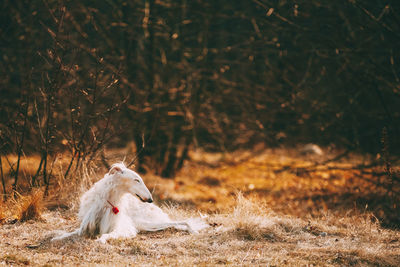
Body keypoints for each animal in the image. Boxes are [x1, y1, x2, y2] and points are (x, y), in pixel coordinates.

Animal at [52, 162, 208, 244]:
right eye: (136, 180)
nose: (150, 199)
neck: (108, 203)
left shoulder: (122, 228)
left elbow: (107, 235)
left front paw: (101, 240)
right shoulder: (85, 228)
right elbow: (72, 233)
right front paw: (57, 237)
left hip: (146, 222)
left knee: (183, 222)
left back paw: (193, 230)